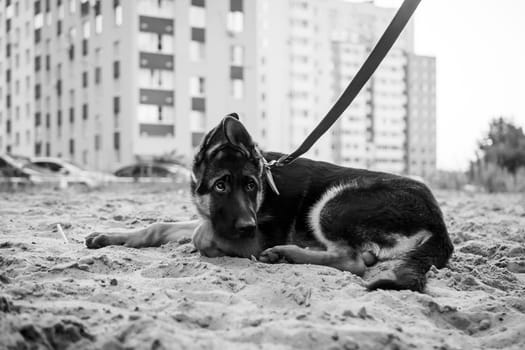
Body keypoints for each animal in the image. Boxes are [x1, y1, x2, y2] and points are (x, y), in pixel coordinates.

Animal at [85, 113, 450, 292]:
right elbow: (160, 226)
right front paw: (110, 235)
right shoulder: (217, 217)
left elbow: (201, 234)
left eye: (251, 185)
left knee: (354, 260)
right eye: (220, 186)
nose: (248, 225)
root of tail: (439, 224)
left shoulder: (251, 236)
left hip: (333, 203)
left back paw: (285, 253)